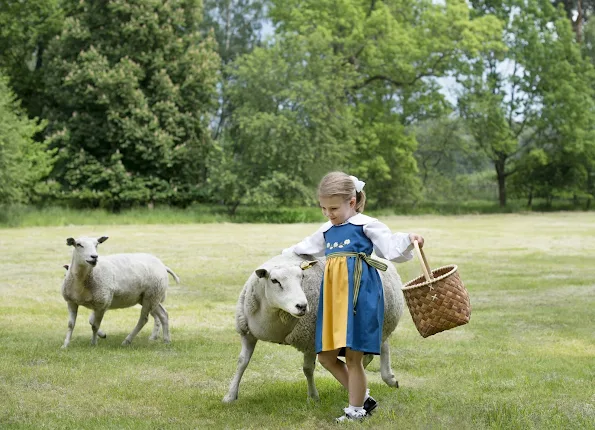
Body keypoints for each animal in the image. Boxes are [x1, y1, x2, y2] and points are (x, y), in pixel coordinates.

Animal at [224, 252, 406, 404]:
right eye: (274, 281)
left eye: (302, 277)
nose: (302, 306)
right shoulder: (247, 333)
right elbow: (242, 362)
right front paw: (230, 395)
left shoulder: (310, 340)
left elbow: (308, 369)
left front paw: (313, 397)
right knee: (372, 353)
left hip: (378, 324)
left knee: (380, 348)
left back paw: (386, 378)